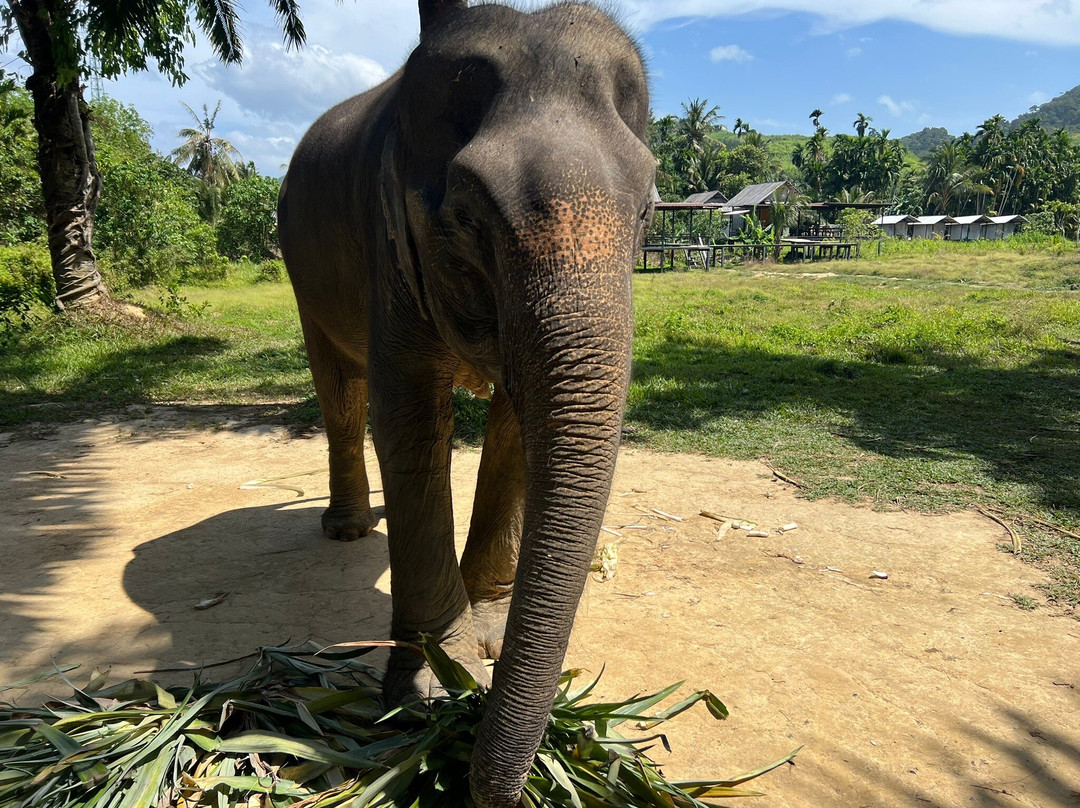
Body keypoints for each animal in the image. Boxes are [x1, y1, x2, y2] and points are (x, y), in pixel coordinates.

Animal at [276, 2, 655, 806]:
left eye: (647, 212)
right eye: (468, 217)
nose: (499, 782)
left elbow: (515, 423)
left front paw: (485, 634)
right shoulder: (386, 230)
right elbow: (409, 417)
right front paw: (431, 687)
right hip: (299, 262)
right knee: (341, 395)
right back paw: (349, 530)